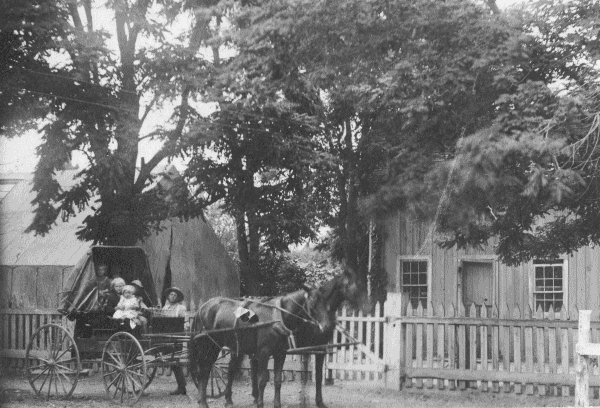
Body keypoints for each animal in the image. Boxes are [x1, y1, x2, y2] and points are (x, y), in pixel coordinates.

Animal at [190, 270, 364, 406]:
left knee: (229, 368)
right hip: (210, 346)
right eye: (313, 304)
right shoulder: (265, 352)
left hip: (235, 346)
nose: (327, 326)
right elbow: (263, 380)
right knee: (204, 370)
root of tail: (202, 308)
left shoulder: (282, 353)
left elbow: (278, 380)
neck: (279, 317)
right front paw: (260, 403)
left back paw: (227, 399)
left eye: (326, 303)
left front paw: (277, 403)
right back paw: (203, 401)